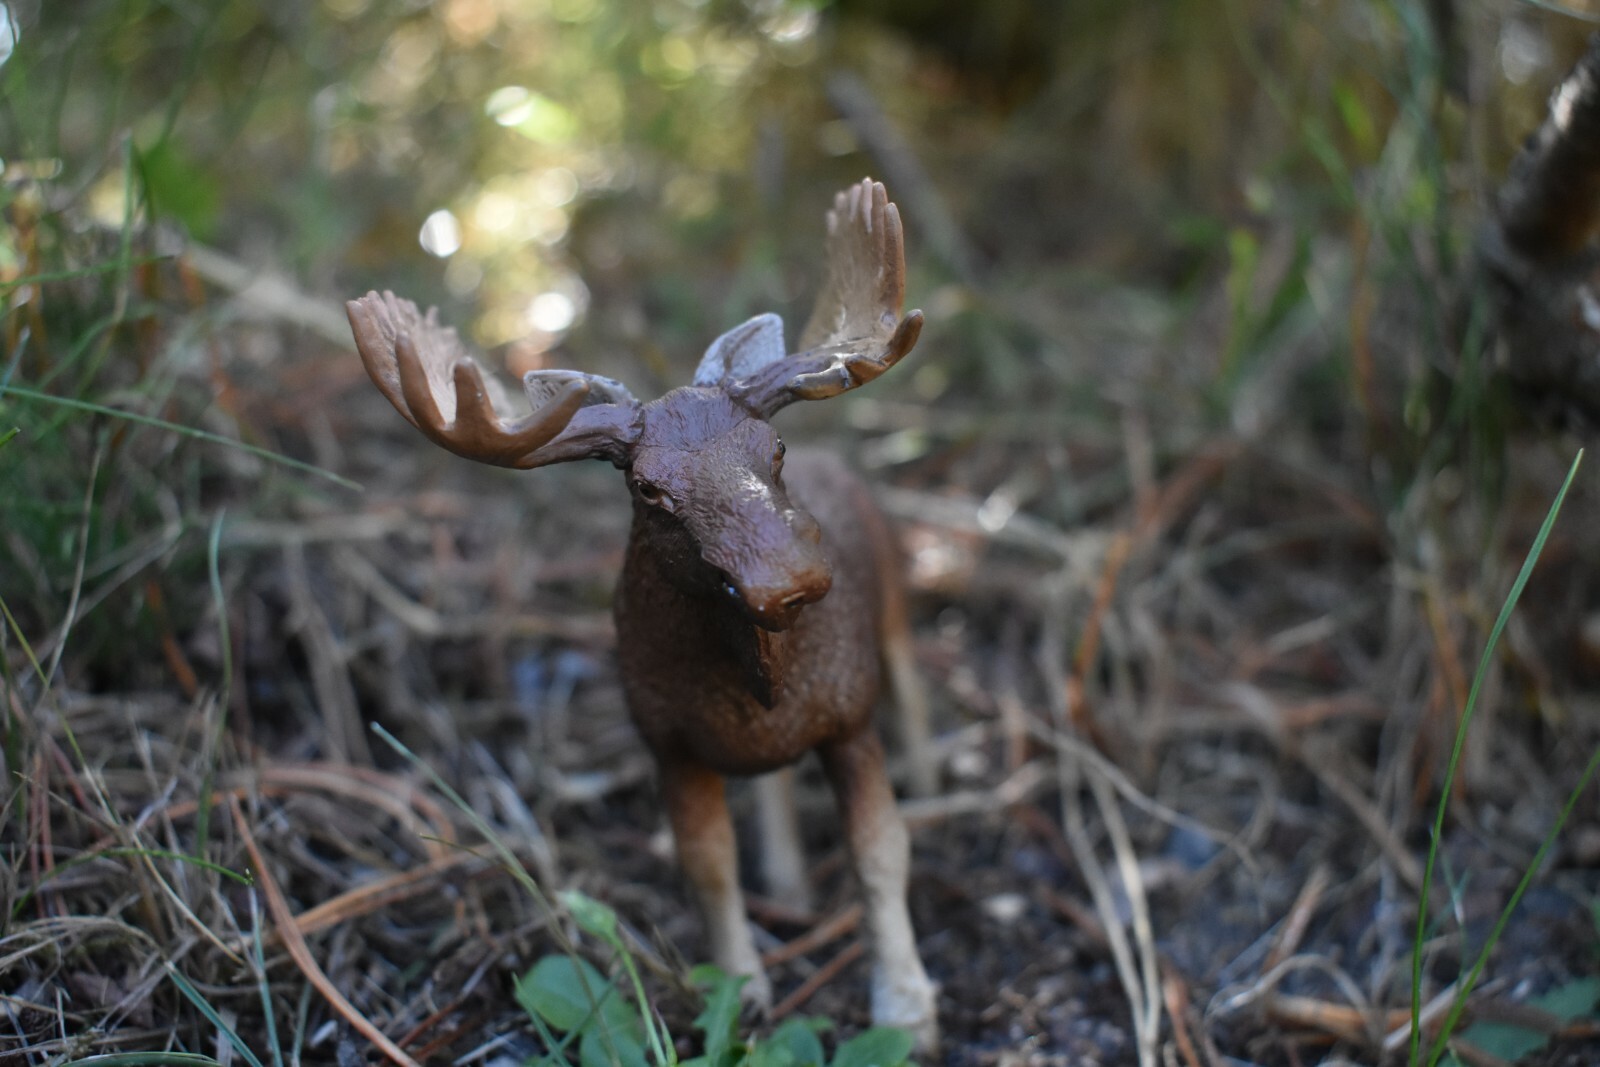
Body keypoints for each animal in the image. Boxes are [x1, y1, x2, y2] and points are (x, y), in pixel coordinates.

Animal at [346, 179, 938, 1047]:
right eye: (650, 489)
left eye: (774, 451)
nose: (787, 581)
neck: (760, 679)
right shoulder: (669, 741)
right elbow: (709, 868)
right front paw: (742, 994)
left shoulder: (849, 713)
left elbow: (881, 853)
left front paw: (906, 1009)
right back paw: (789, 884)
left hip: (893, 605)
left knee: (913, 689)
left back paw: (936, 776)